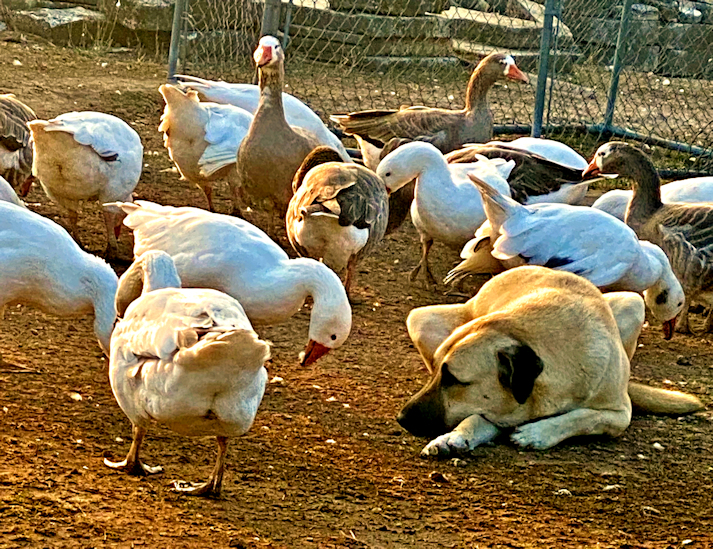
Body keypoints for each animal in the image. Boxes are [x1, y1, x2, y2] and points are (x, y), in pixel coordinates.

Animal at [398, 266, 704, 454]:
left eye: (453, 379)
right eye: (437, 373)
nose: (401, 418)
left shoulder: (619, 414)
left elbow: (584, 417)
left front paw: (538, 433)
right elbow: (477, 416)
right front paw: (455, 436)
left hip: (634, 303)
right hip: (419, 318)